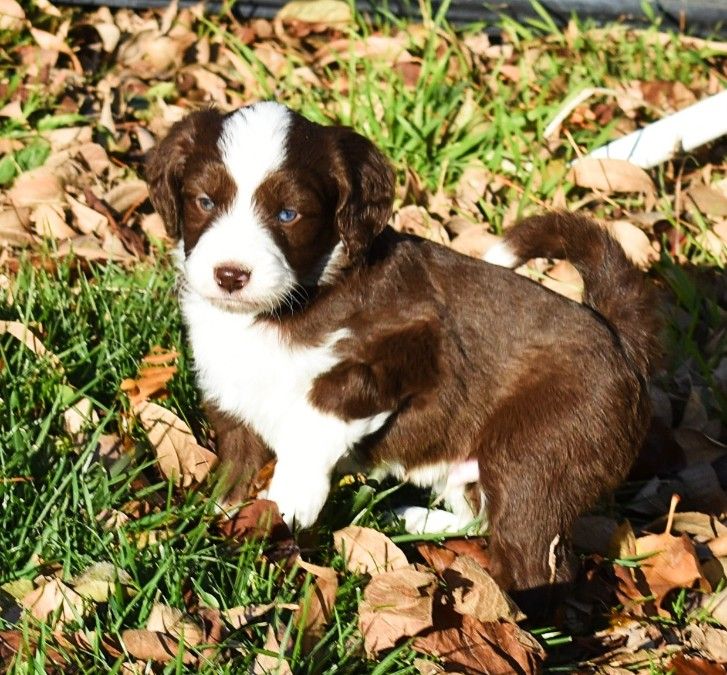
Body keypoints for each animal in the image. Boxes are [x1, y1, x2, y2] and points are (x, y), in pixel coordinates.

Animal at [146, 103, 660, 596]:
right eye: (205, 201)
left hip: (538, 453)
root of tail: (620, 339)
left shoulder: (416, 345)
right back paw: (416, 519)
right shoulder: (231, 389)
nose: (231, 275)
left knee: (535, 558)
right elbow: (236, 466)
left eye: (288, 215)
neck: (287, 306)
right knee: (481, 515)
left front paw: (287, 505)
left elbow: (317, 412)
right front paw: (212, 526)